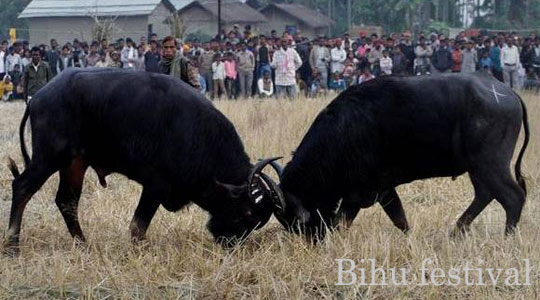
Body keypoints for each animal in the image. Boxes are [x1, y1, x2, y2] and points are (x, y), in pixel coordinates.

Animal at [3, 68, 282, 253]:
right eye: (246, 211)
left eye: (256, 222)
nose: (230, 243)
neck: (196, 133)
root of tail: (39, 97)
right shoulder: (155, 186)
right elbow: (137, 227)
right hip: (49, 157)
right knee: (22, 188)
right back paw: (12, 245)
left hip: (75, 163)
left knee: (67, 201)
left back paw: (83, 244)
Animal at [270, 73, 528, 239]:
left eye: (294, 219)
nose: (313, 239)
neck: (344, 131)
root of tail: (507, 92)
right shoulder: (384, 190)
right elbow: (400, 220)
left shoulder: (359, 194)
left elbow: (341, 223)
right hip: (478, 168)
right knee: (485, 194)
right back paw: (456, 231)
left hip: (491, 164)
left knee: (512, 197)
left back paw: (506, 238)